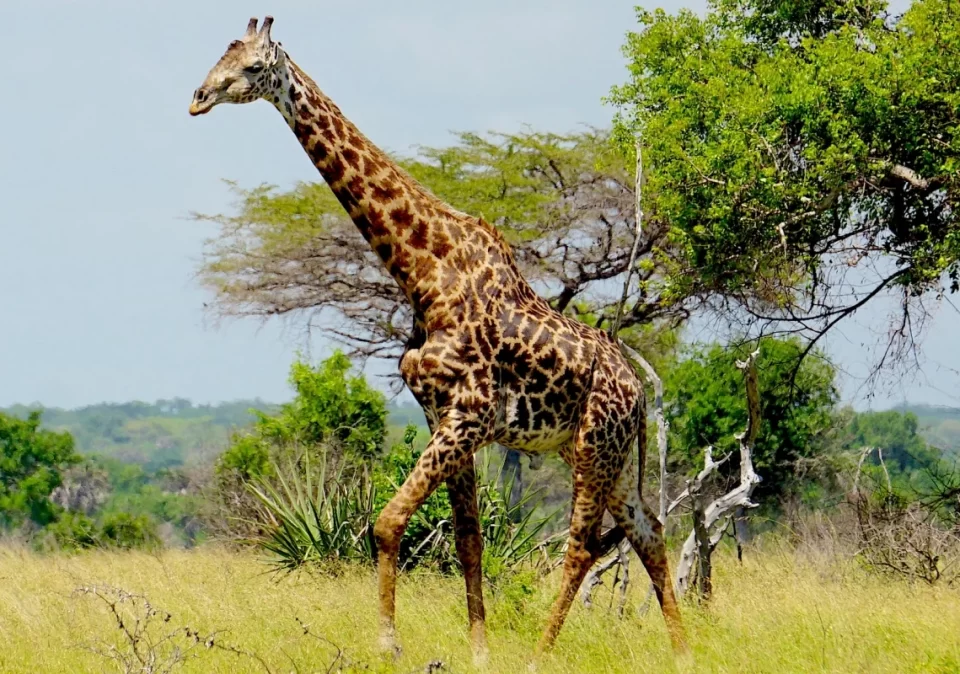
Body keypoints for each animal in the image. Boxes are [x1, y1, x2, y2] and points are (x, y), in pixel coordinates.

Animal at [188, 16, 687, 662]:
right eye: (219, 56)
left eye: (251, 67)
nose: (198, 97)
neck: (423, 270)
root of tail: (640, 391)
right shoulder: (441, 413)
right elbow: (469, 539)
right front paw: (478, 652)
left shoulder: (469, 414)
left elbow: (387, 522)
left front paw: (389, 645)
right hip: (612, 452)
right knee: (647, 530)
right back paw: (685, 651)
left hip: (593, 444)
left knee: (583, 544)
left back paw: (540, 654)